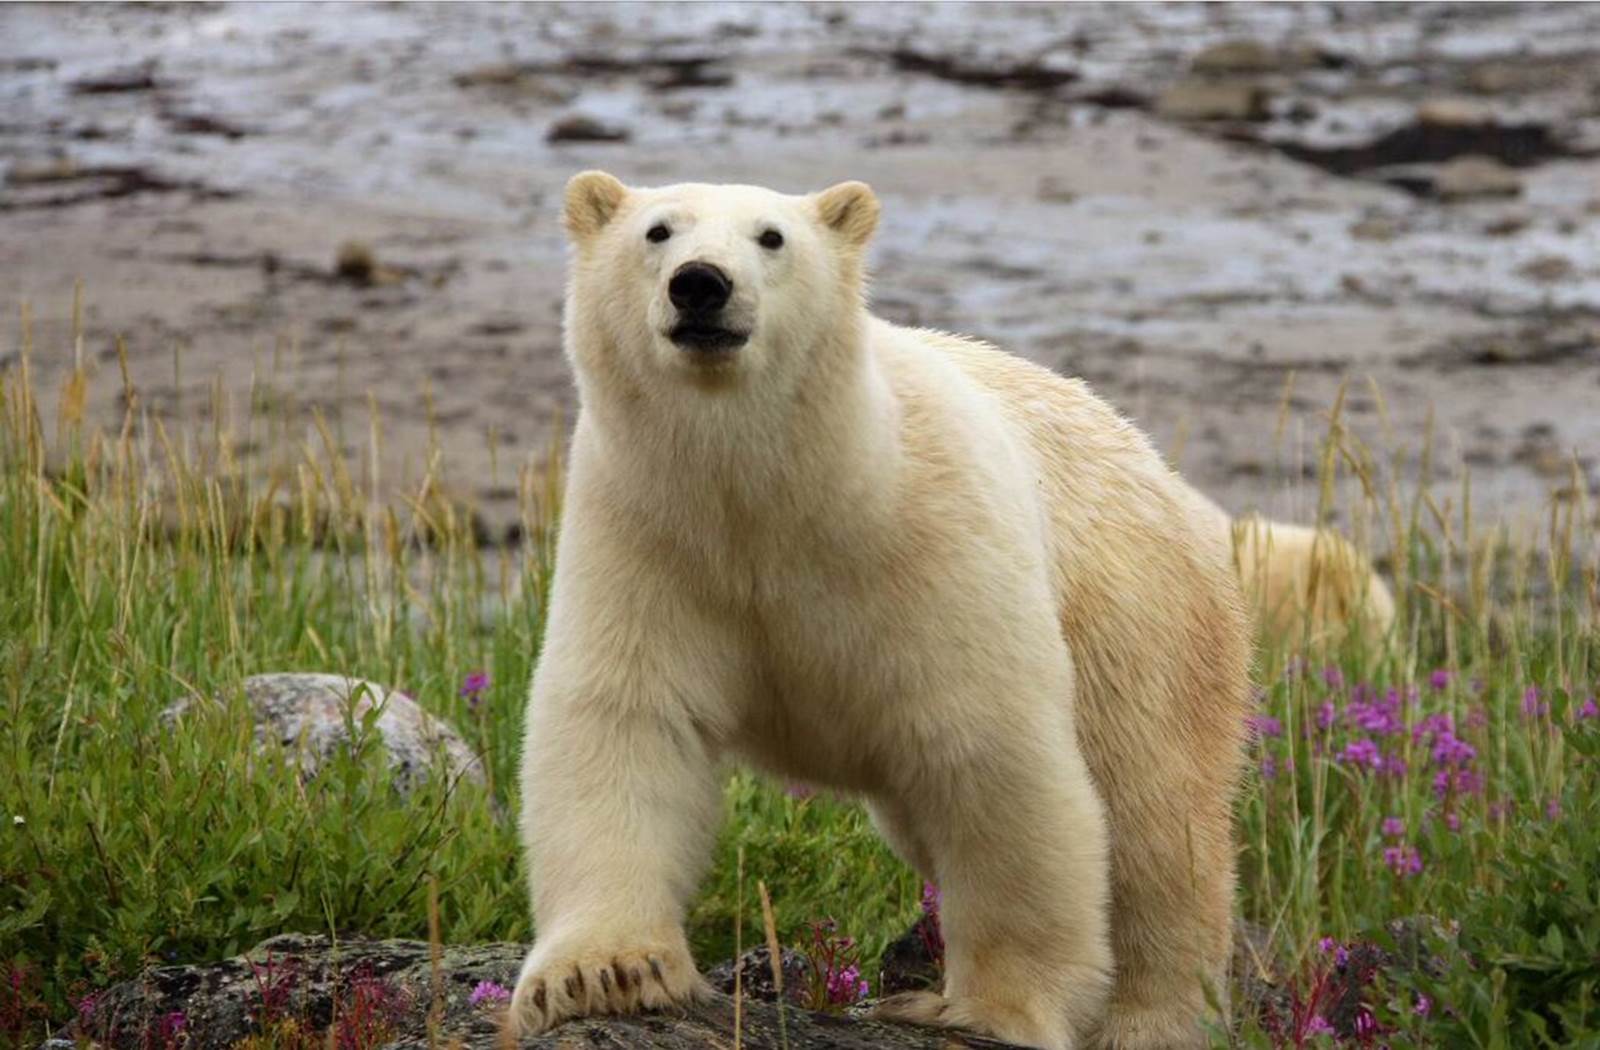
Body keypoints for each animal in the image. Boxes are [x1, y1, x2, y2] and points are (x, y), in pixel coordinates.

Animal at [510, 171, 1252, 1050]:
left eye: (771, 236)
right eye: (658, 231)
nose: (701, 284)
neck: (781, 493)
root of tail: (1163, 472)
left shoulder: (933, 547)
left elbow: (995, 760)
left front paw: (997, 1009)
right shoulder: (648, 535)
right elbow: (626, 722)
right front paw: (602, 973)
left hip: (1140, 624)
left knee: (1154, 823)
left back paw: (1151, 1018)